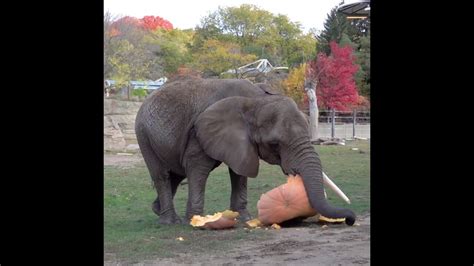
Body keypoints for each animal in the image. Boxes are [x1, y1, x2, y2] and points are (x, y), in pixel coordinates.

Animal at [133, 76, 356, 225]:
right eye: (275, 144)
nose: (351, 219)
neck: (256, 99)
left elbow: (239, 172)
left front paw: (243, 218)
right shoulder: (199, 132)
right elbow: (198, 168)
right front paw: (196, 220)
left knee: (176, 175)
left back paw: (158, 211)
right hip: (143, 133)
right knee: (162, 175)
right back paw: (171, 222)